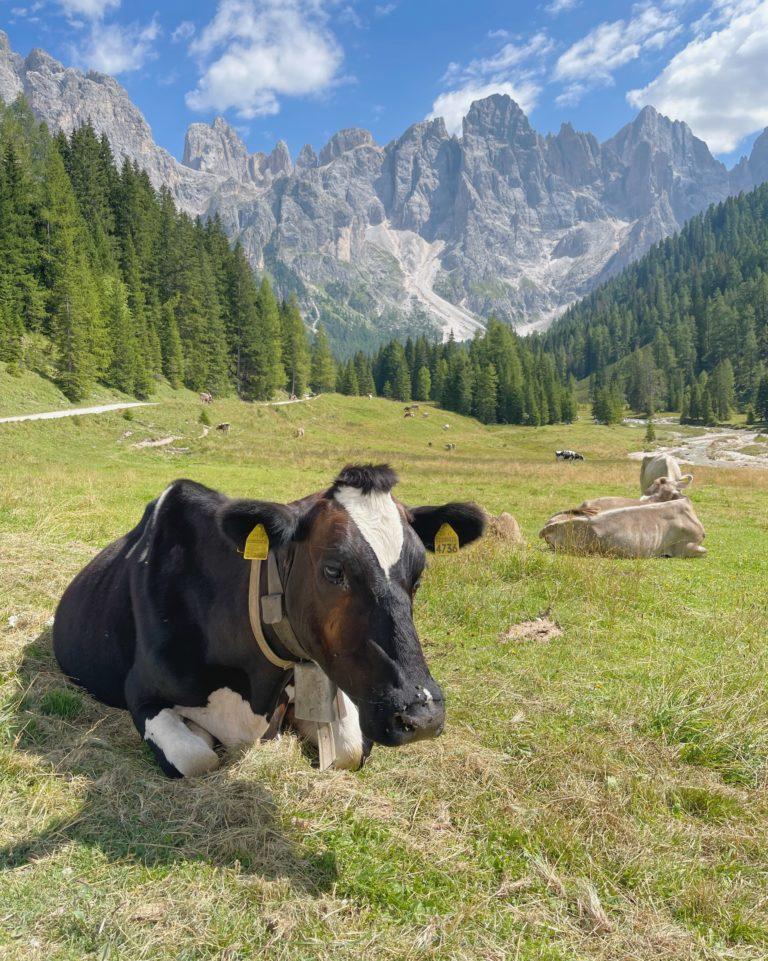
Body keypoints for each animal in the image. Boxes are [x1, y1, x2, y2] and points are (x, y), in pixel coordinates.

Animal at [52, 466, 486, 780]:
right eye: (334, 570)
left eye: (419, 575)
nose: (422, 716)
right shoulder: (141, 694)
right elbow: (196, 758)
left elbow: (347, 750)